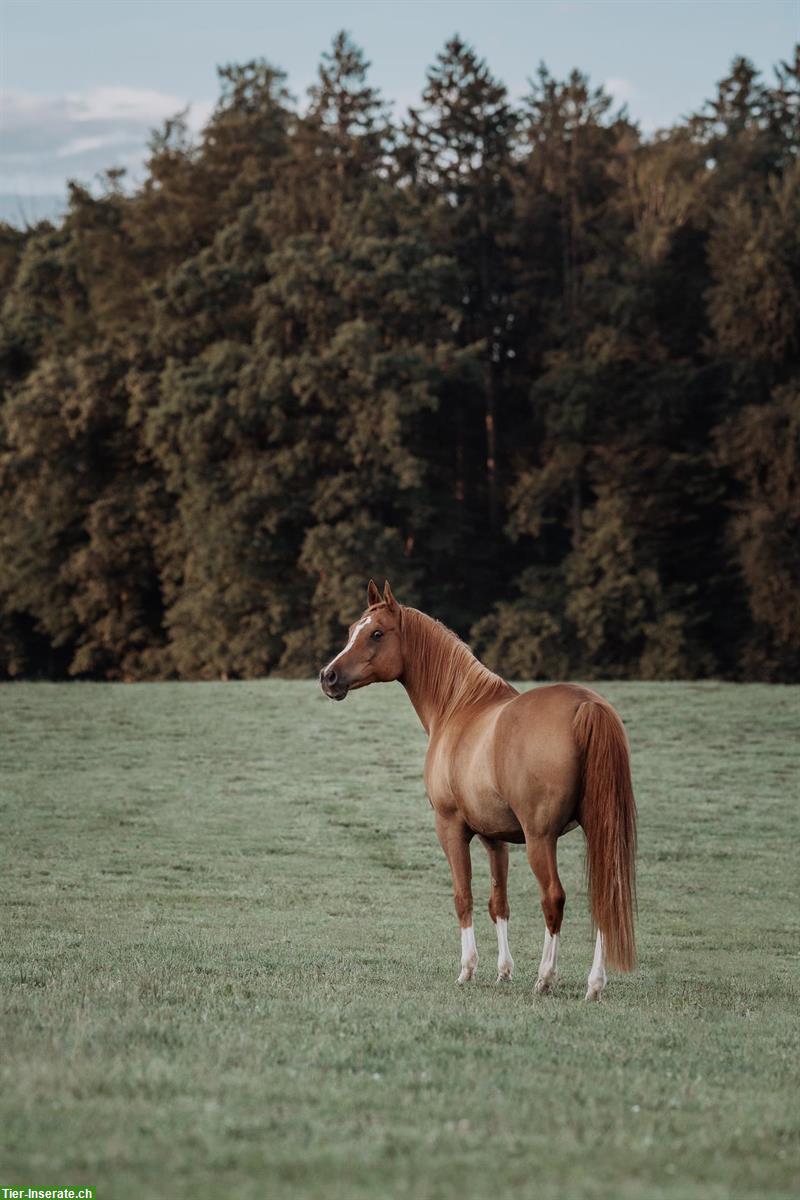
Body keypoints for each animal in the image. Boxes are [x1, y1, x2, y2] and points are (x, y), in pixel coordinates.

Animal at [319, 576, 638, 998]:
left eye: (376, 633)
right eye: (353, 630)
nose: (328, 677)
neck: (459, 706)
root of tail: (586, 705)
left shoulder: (451, 826)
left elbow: (463, 896)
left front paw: (468, 969)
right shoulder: (494, 837)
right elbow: (497, 902)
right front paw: (503, 970)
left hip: (540, 838)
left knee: (553, 898)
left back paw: (545, 977)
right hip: (600, 830)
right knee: (605, 896)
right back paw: (594, 984)